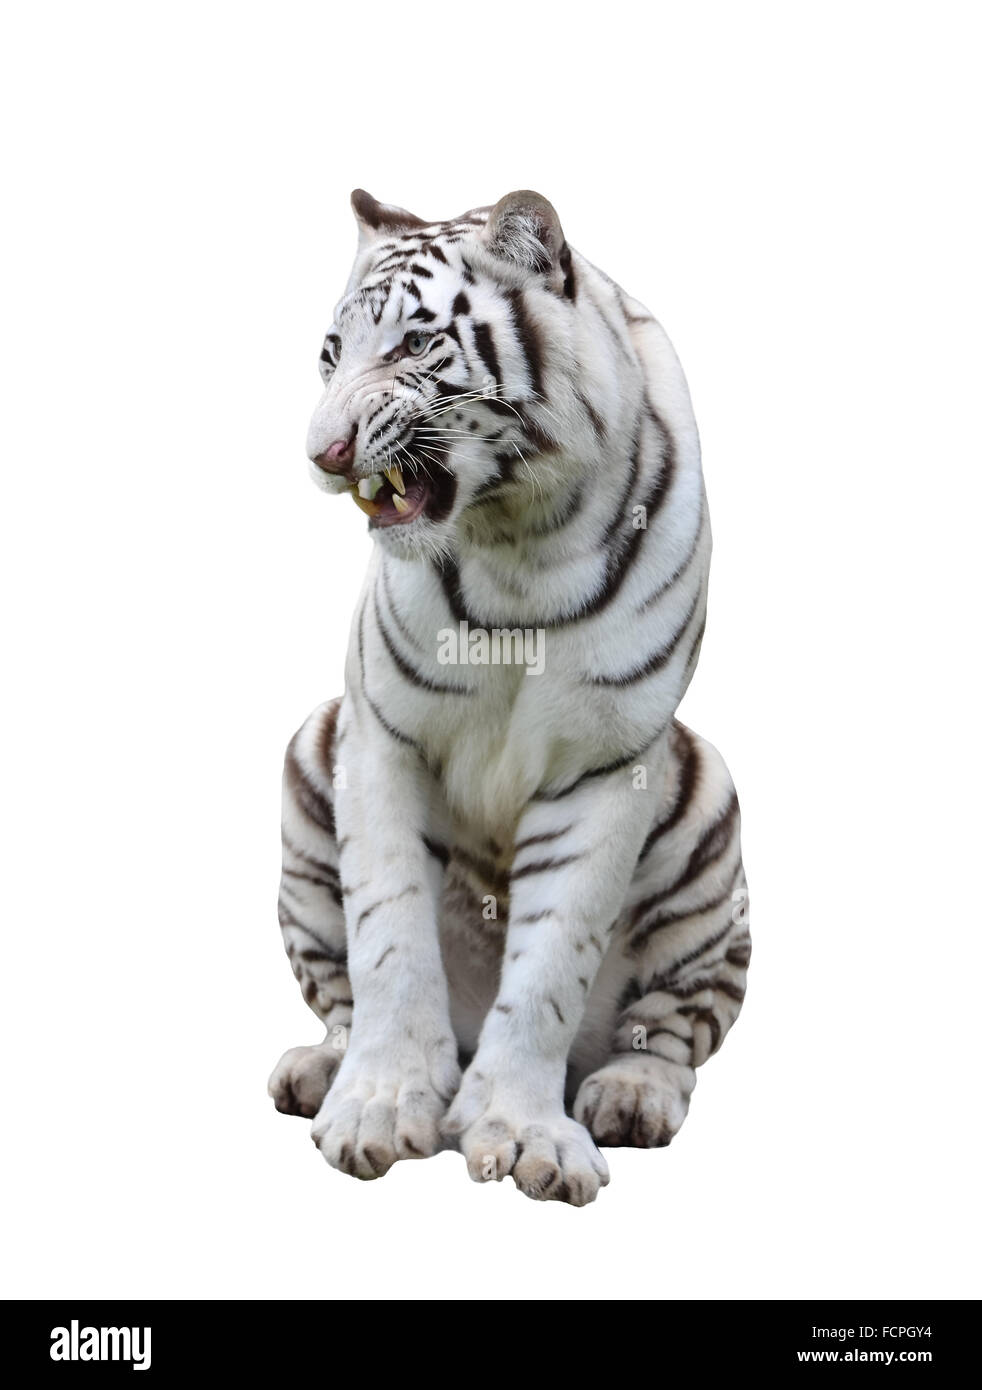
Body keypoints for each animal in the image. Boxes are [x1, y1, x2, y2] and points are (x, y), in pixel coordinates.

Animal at [269, 188, 750, 1205]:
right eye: (331, 352)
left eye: (415, 346)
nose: (322, 455)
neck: (518, 531)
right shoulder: (381, 737)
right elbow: (389, 941)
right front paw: (379, 1107)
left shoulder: (607, 763)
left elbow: (549, 969)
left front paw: (523, 1134)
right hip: (308, 763)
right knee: (341, 998)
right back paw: (320, 1071)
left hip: (708, 818)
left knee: (672, 1033)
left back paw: (630, 1095)